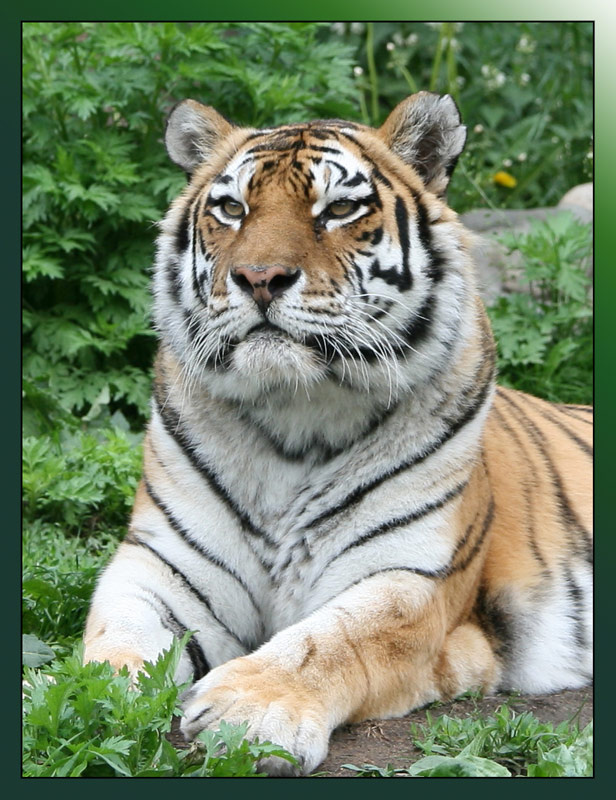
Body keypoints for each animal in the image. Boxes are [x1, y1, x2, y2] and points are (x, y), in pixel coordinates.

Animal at [83, 92, 593, 775]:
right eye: (232, 208)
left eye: (340, 209)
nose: (260, 277)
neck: (293, 418)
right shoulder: (161, 563)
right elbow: (116, 629)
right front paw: (88, 694)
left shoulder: (410, 580)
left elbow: (330, 639)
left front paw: (247, 713)